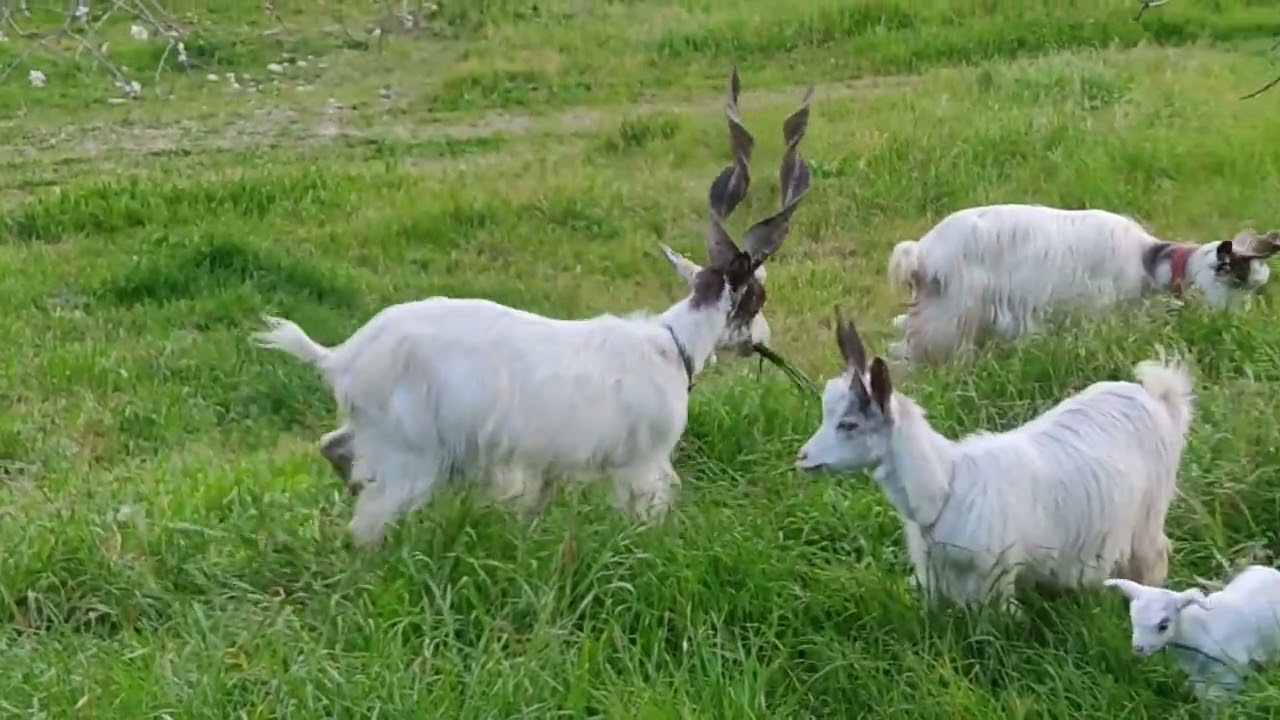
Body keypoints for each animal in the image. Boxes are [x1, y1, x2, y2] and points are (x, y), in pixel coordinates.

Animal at [253, 68, 814, 546]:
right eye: (758, 294)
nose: (764, 339)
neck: (671, 344)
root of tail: (341, 356)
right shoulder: (643, 468)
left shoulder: (544, 469)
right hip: (408, 457)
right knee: (366, 525)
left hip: (372, 433)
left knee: (334, 447)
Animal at [794, 308, 1195, 611]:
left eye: (849, 424)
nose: (802, 458)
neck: (946, 484)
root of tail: (1159, 396)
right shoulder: (936, 574)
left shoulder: (995, 573)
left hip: (1149, 512)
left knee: (1155, 556)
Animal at [885, 204, 1279, 365]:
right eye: (1237, 283)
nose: (1242, 328)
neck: (1149, 262)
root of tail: (919, 253)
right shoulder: (1097, 312)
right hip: (950, 316)